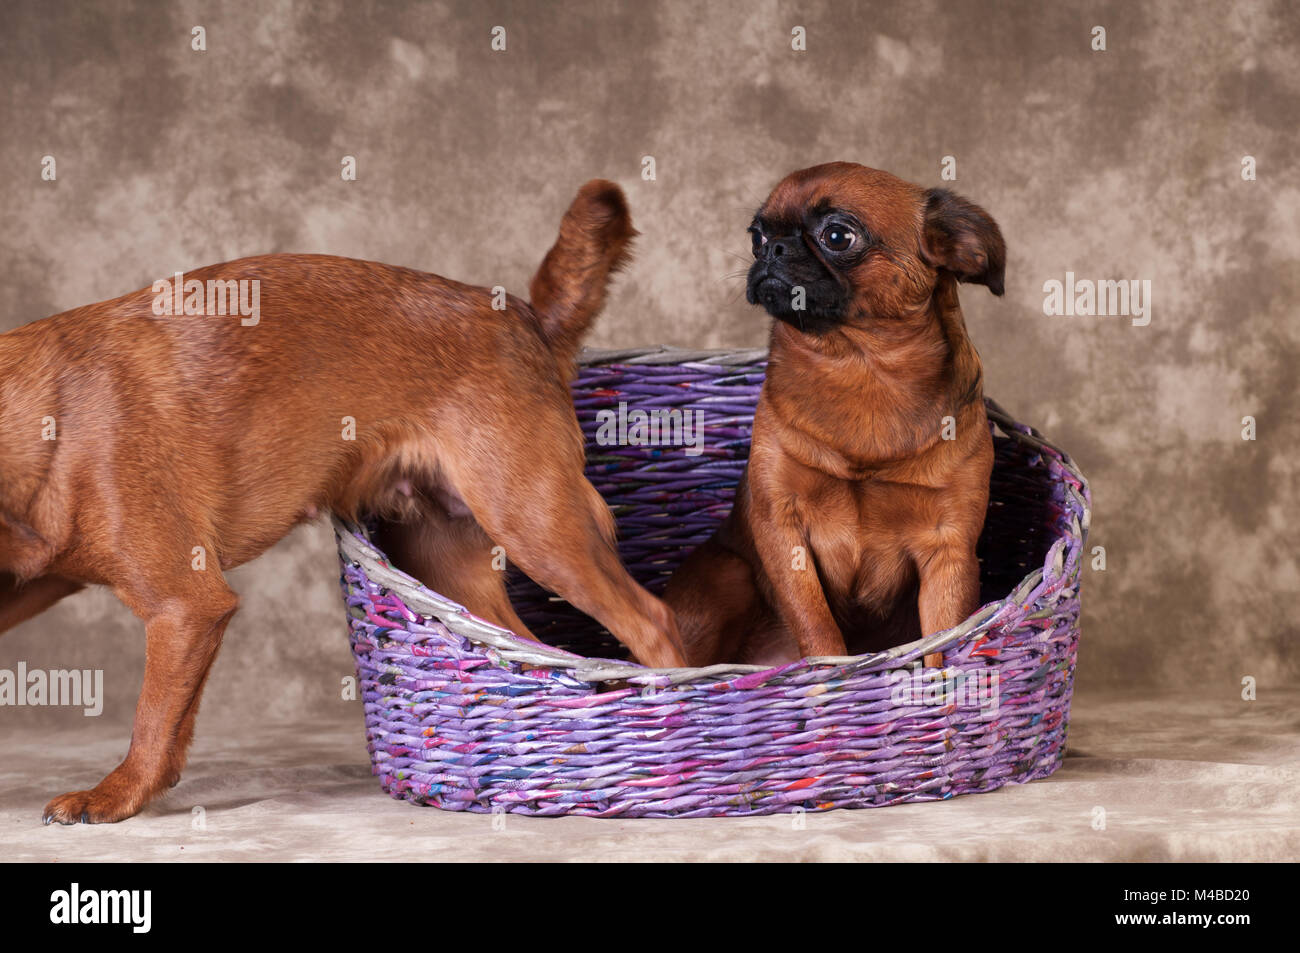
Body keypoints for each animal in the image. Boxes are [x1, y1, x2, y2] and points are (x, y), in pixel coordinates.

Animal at [0, 180, 686, 826]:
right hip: (451, 563)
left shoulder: (185, 605)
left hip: (536, 522)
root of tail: (526, 316)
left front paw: (115, 795)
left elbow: (151, 718)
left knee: (651, 621)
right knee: (526, 647)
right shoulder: (33, 581)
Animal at [670, 161, 1003, 670]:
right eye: (756, 236)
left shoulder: (949, 551)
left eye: (838, 236)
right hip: (729, 575)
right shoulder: (782, 529)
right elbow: (817, 627)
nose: (774, 248)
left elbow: (942, 642)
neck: (857, 365)